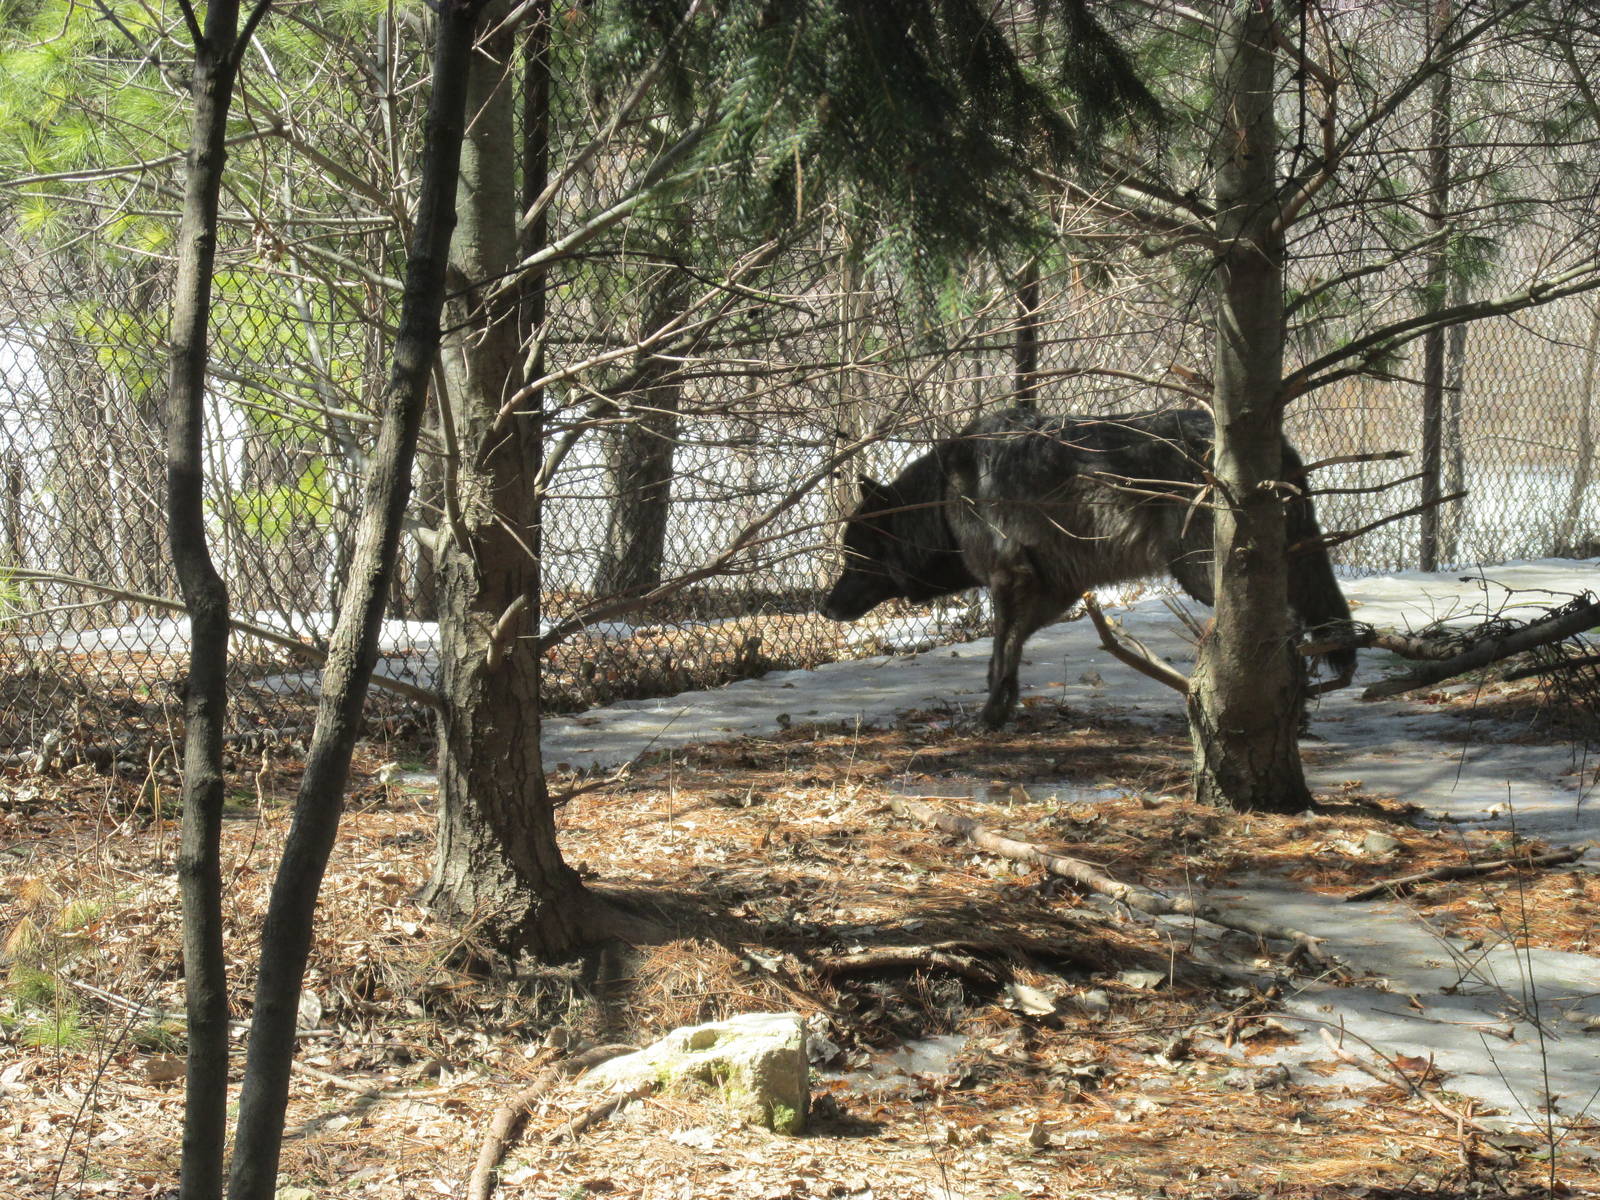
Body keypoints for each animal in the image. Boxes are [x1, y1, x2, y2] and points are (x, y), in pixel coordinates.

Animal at [820, 407, 1354, 728]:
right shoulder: (1054, 590)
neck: (942, 500)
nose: (825, 608)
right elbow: (1007, 657)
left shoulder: (1009, 581)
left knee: (1285, 624)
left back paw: (1290, 711)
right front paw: (1003, 709)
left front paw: (988, 718)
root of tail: (1280, 446)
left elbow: (999, 655)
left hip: (1202, 571)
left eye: (853, 559)